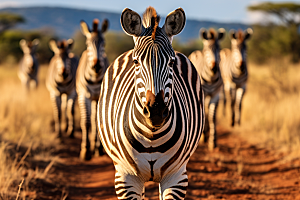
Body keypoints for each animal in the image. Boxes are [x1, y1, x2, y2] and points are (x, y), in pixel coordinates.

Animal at [97, 6, 205, 200]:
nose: (155, 111)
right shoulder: (126, 178)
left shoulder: (176, 177)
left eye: (171, 62)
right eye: (136, 62)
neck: (152, 135)